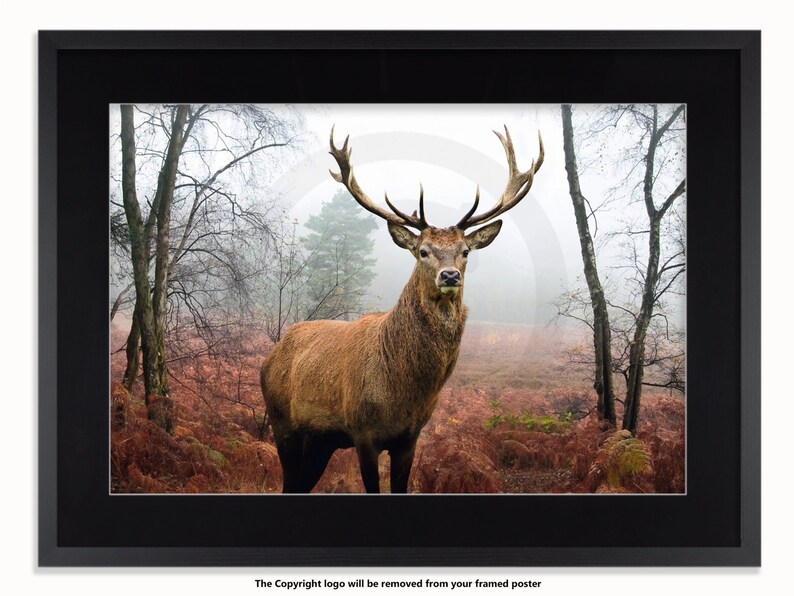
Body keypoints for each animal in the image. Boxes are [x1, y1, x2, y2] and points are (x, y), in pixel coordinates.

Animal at [260, 125, 543, 493]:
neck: (402, 392)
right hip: (282, 423)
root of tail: (270, 356)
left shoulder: (409, 438)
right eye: (423, 251)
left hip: (320, 441)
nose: (449, 275)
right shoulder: (363, 433)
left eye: (465, 251)